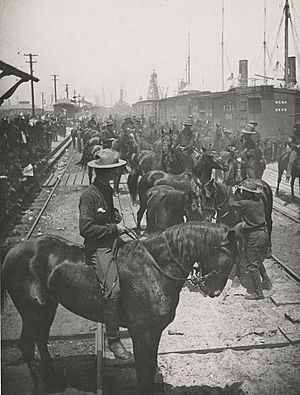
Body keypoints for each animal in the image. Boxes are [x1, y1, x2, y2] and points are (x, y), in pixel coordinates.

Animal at [1, 224, 243, 394]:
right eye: (229, 256)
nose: (214, 291)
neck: (154, 268)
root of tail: (14, 250)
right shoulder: (142, 332)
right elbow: (143, 368)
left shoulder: (154, 331)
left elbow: (150, 365)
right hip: (32, 310)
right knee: (26, 344)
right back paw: (43, 386)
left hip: (47, 308)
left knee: (41, 339)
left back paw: (53, 379)